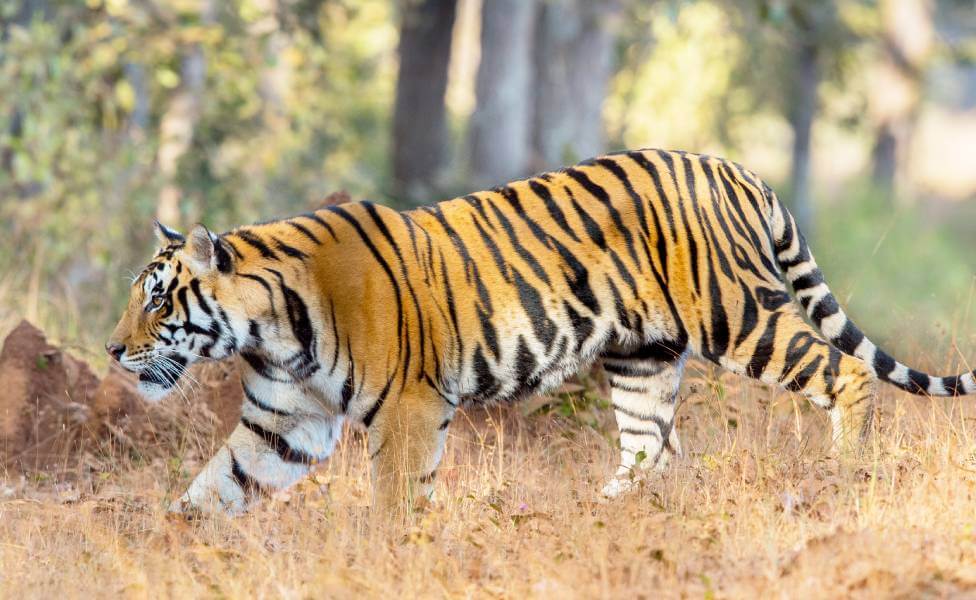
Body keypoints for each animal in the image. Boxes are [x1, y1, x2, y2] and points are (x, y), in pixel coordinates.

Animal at [107, 148, 976, 512]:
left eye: (157, 300)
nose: (114, 350)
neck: (270, 328)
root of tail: (737, 168)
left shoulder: (409, 408)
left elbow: (395, 497)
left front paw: (391, 551)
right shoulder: (283, 421)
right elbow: (214, 486)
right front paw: (169, 547)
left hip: (738, 314)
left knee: (843, 373)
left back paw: (843, 475)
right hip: (642, 358)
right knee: (650, 450)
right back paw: (607, 512)